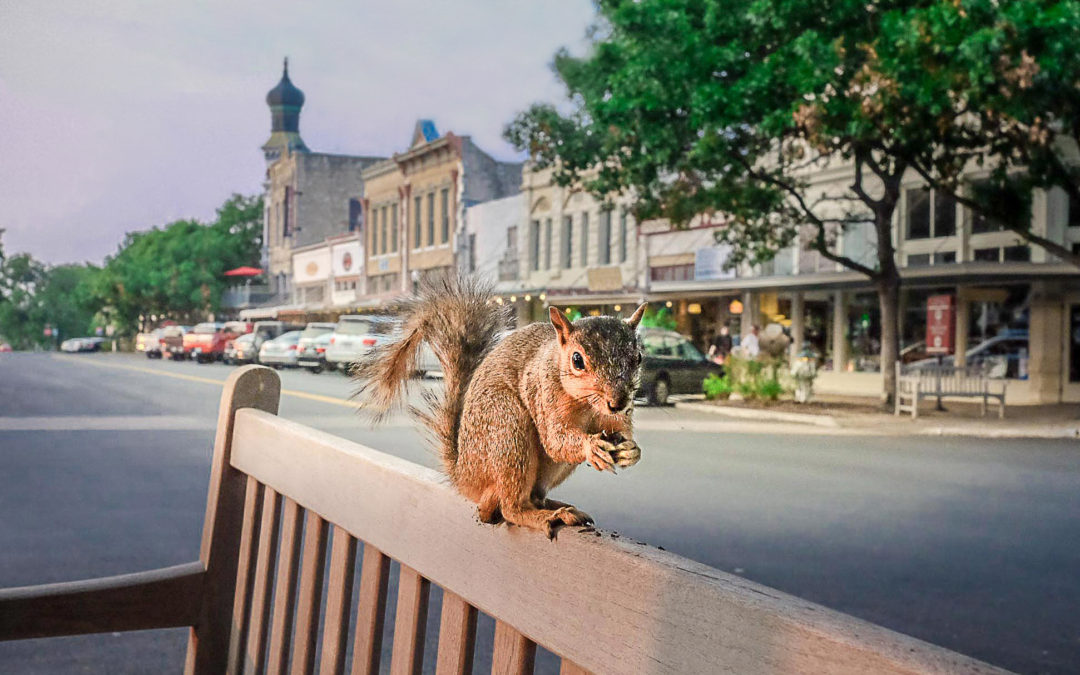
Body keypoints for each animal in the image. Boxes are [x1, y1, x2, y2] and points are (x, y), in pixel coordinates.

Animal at [354, 274, 643, 537]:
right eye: (577, 360)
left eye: (638, 357)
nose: (617, 402)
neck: (587, 405)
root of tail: (465, 475)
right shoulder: (543, 392)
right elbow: (555, 440)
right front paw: (591, 447)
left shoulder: (616, 419)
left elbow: (621, 433)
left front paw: (631, 451)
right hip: (507, 428)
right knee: (508, 507)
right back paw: (545, 516)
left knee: (530, 497)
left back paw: (555, 506)